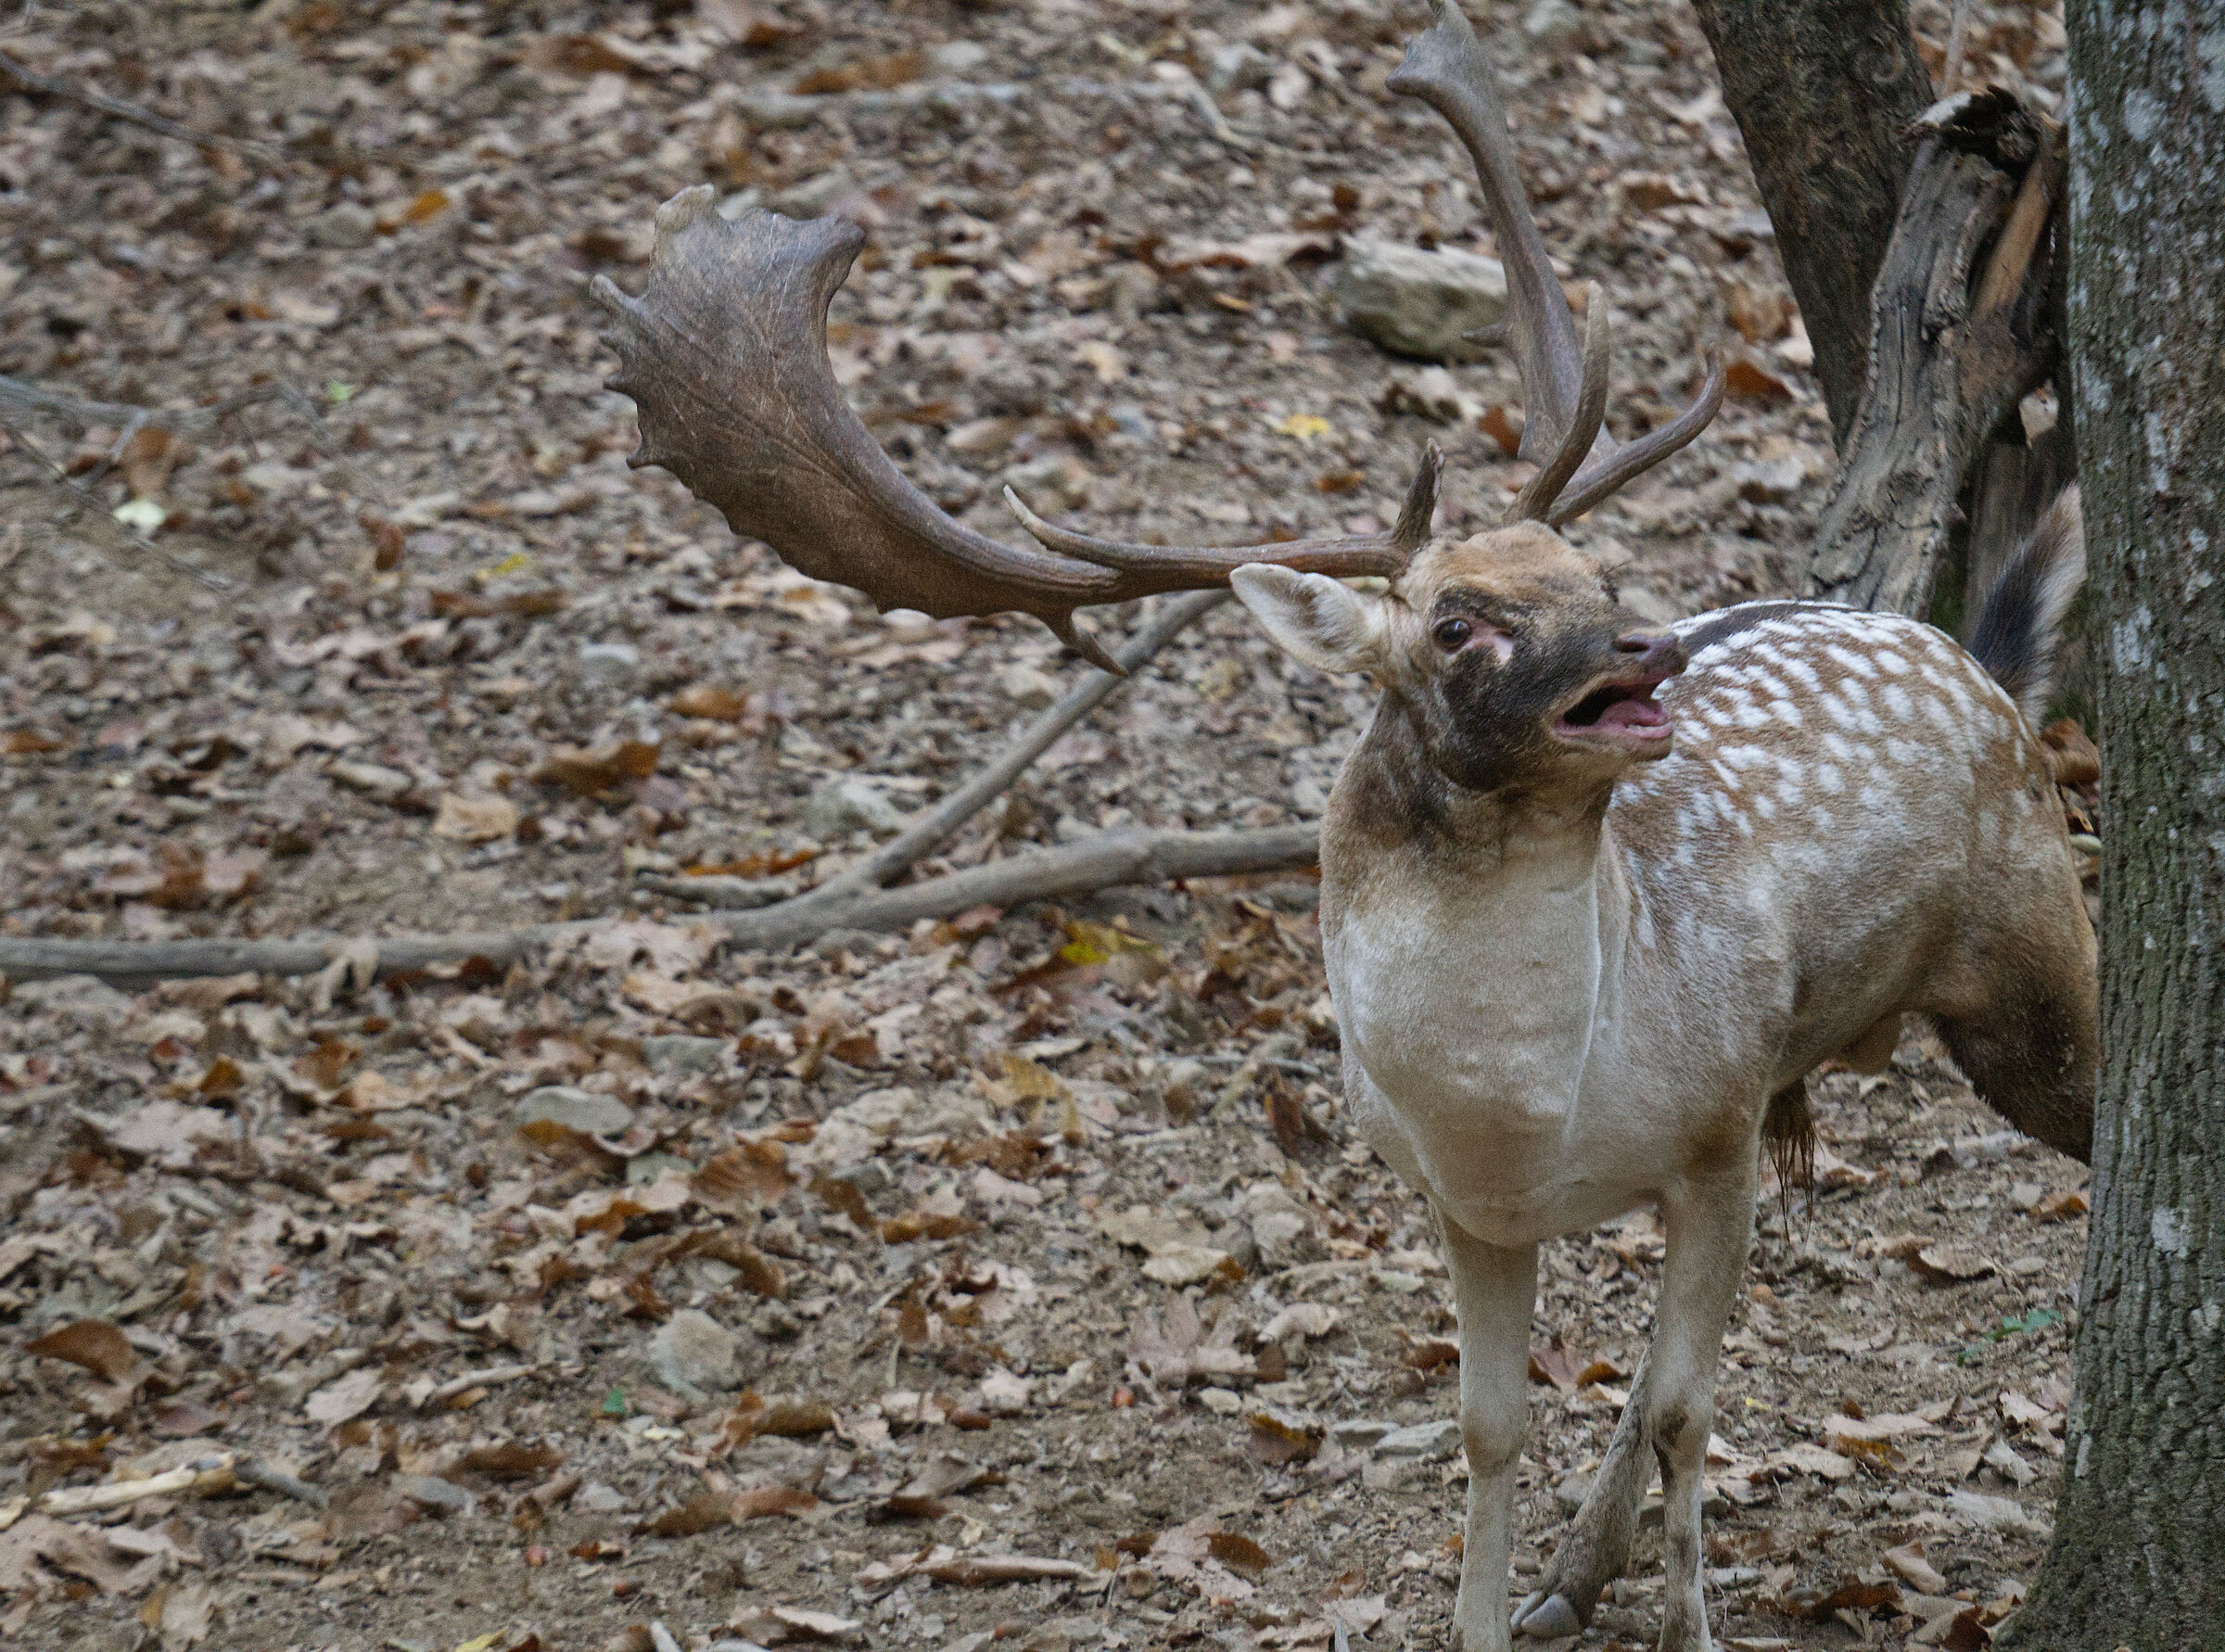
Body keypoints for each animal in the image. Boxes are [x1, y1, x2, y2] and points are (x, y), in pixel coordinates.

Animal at [590, 4, 2098, 1646]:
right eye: (1456, 620)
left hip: (2033, 959)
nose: (1647, 653)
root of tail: (1981, 660)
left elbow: (1690, 1407)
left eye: (1591, 566)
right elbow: (1494, 1424)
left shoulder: (1706, 1133)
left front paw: (1688, 1621)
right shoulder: (1478, 1205)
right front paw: (1492, 1613)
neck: (1529, 1113)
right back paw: (1574, 1572)